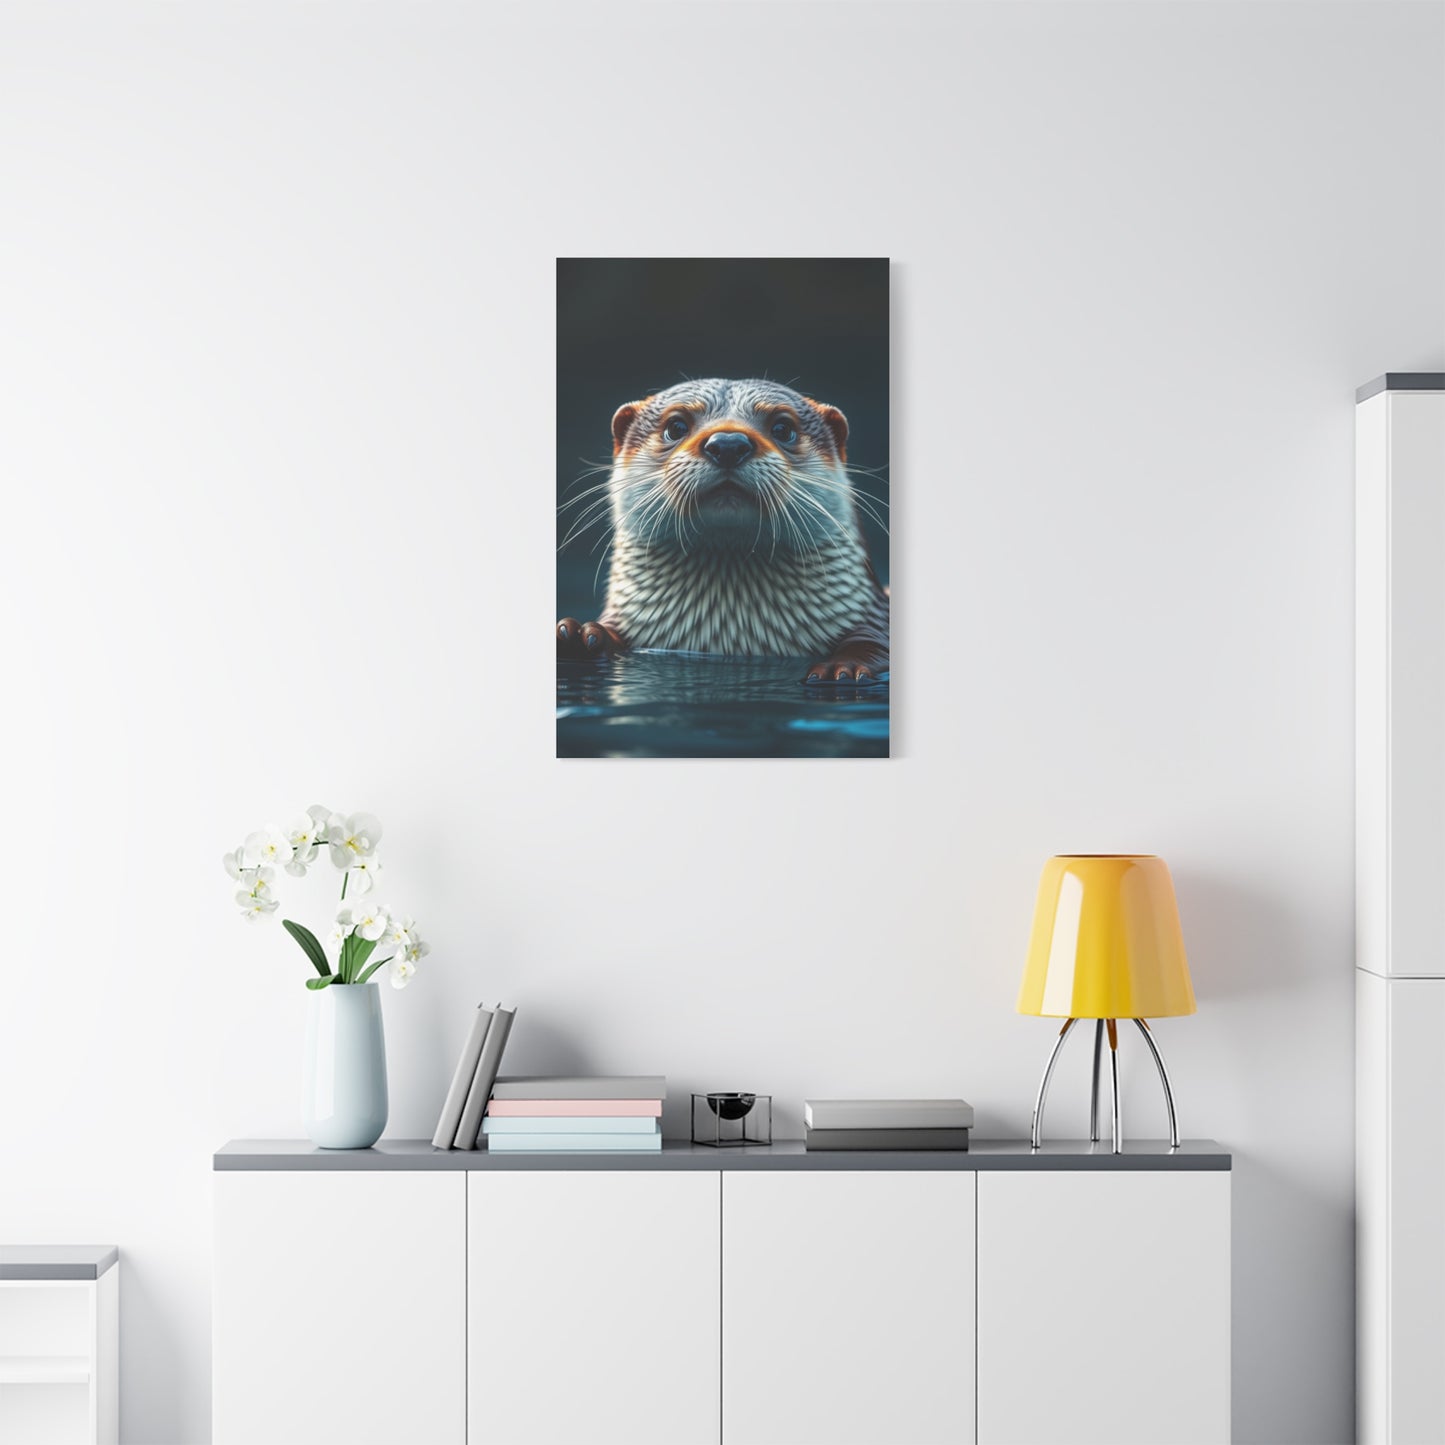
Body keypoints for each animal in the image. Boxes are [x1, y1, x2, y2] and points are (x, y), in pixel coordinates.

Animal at [556, 378, 889, 684]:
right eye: (676, 426)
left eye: (782, 428)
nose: (728, 444)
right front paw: (578, 636)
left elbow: (872, 644)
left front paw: (843, 668)